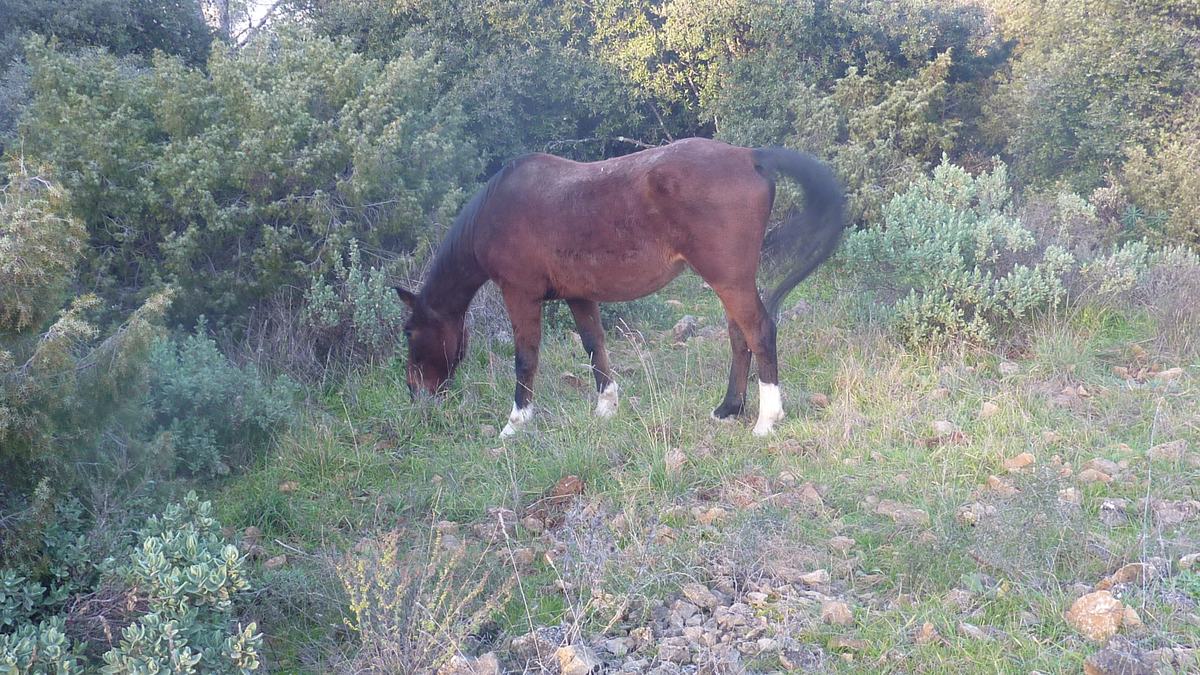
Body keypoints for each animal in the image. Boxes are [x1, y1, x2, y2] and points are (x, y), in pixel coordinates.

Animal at [393, 136, 844, 437]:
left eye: (409, 332)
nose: (415, 393)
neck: (497, 209)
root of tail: (750, 156)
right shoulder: (578, 295)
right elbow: (595, 346)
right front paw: (606, 407)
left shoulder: (519, 294)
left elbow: (525, 358)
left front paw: (515, 423)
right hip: (729, 282)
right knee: (739, 337)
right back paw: (728, 409)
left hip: (729, 280)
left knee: (759, 332)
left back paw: (767, 419)